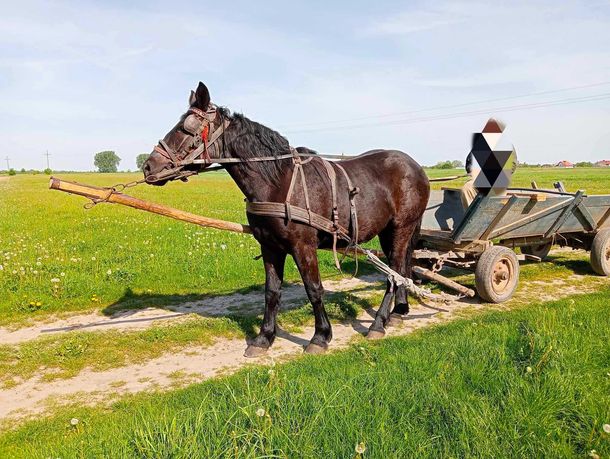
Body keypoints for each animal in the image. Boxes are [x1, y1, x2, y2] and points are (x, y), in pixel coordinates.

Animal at [142, 82, 428, 356]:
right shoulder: (270, 246)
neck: (278, 180)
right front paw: (264, 338)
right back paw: (397, 312)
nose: (148, 167)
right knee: (399, 268)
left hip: (402, 227)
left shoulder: (303, 246)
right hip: (387, 231)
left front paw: (320, 337)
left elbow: (314, 288)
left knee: (393, 274)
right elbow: (272, 292)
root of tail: (416, 166)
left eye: (186, 128)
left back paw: (378, 323)